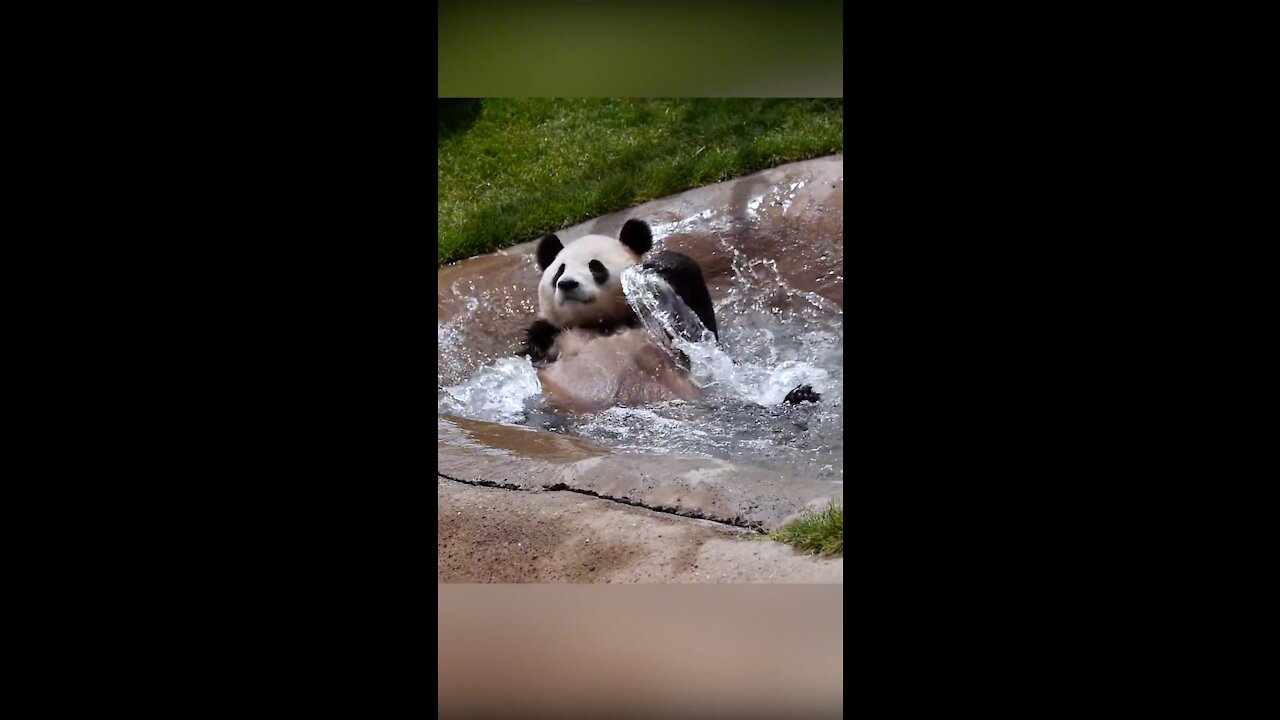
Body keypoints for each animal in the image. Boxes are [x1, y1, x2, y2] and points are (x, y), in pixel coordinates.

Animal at [519, 218, 820, 413]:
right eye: (559, 270)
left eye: (595, 267)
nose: (567, 284)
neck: (601, 323)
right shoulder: (556, 341)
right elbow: (536, 343)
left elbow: (701, 331)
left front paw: (657, 267)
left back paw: (799, 397)